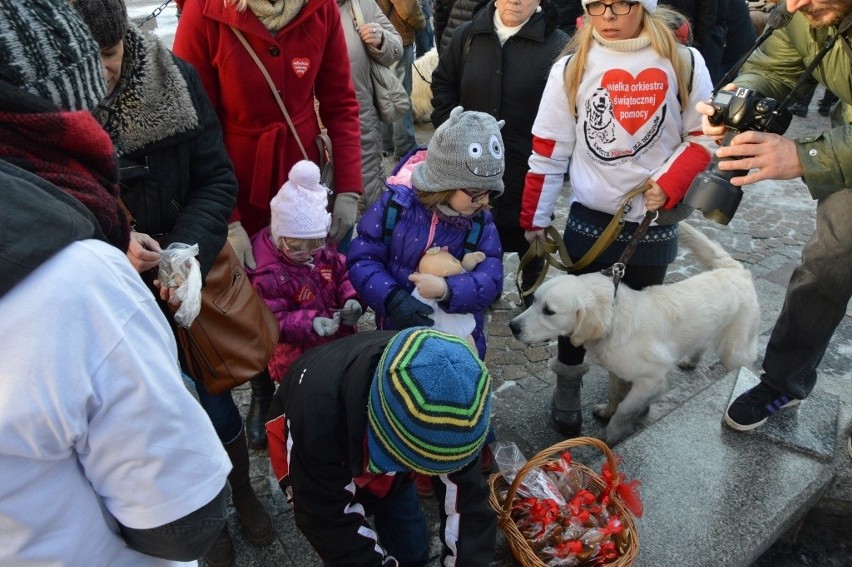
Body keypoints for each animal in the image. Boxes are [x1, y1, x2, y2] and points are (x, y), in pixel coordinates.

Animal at [510, 224, 764, 446]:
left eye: (549, 311)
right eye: (534, 300)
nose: (513, 326)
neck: (614, 319)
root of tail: (737, 270)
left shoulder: (651, 378)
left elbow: (625, 408)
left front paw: (611, 435)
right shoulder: (617, 370)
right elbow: (615, 393)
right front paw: (606, 411)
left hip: (734, 350)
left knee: (748, 359)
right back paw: (691, 361)